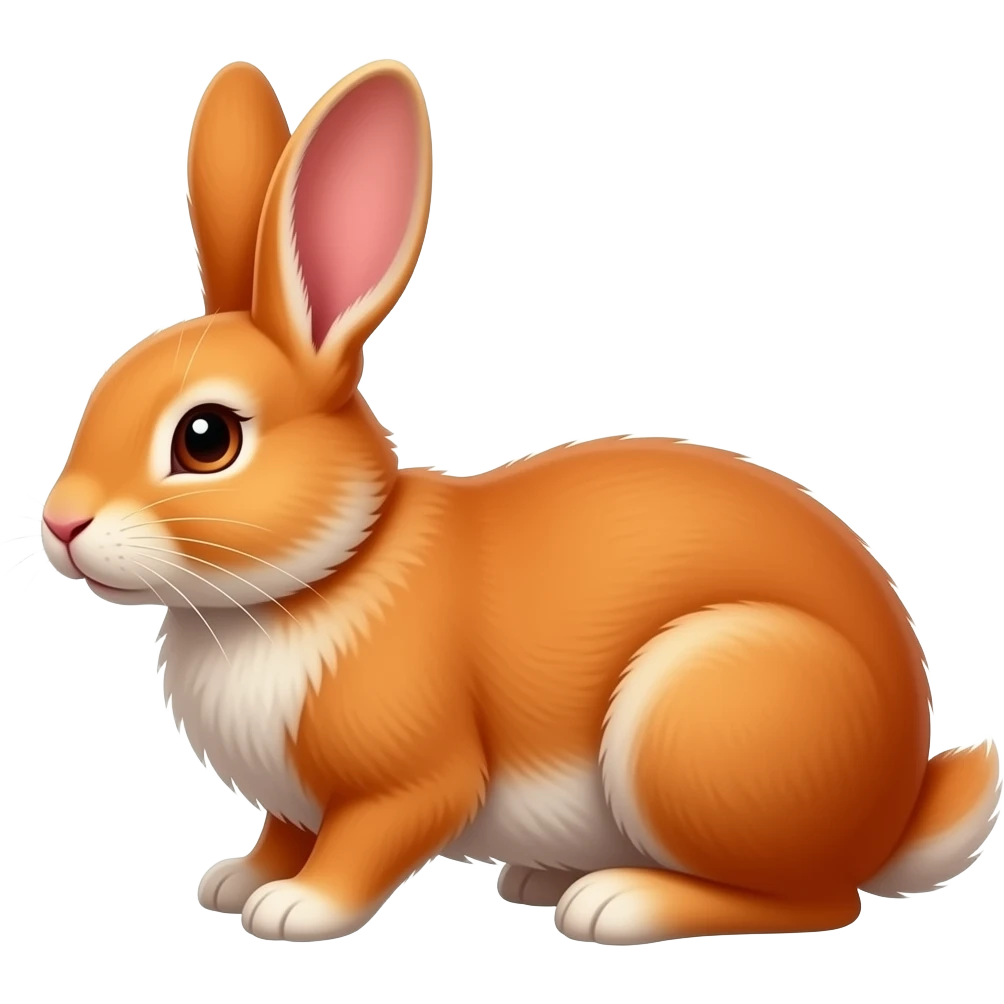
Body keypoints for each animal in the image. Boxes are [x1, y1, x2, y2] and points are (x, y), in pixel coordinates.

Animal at [38, 57, 1000, 946]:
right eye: (101, 390)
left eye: (206, 440)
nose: (61, 523)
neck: (327, 572)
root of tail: (894, 810)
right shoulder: (290, 801)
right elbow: (283, 832)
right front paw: (236, 880)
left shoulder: (410, 780)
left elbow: (364, 842)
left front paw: (295, 908)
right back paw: (542, 879)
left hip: (703, 716)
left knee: (817, 902)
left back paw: (617, 902)